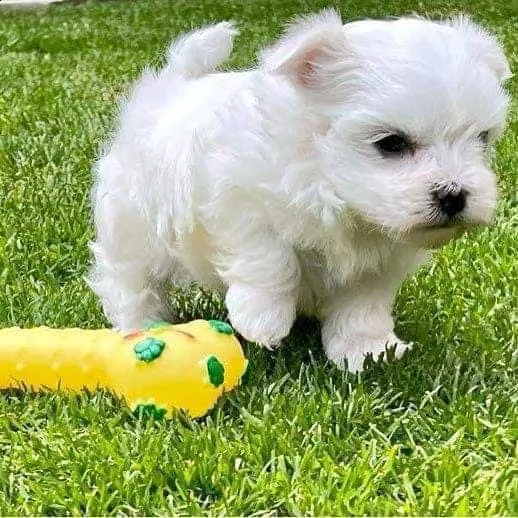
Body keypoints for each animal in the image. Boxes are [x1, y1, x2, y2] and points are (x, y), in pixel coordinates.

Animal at [90, 9, 512, 374]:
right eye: (391, 143)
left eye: (482, 138)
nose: (454, 195)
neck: (333, 185)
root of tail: (166, 90)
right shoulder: (236, 198)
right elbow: (271, 258)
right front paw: (263, 318)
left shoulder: (380, 261)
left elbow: (364, 305)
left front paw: (367, 351)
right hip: (133, 226)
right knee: (129, 279)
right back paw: (140, 326)